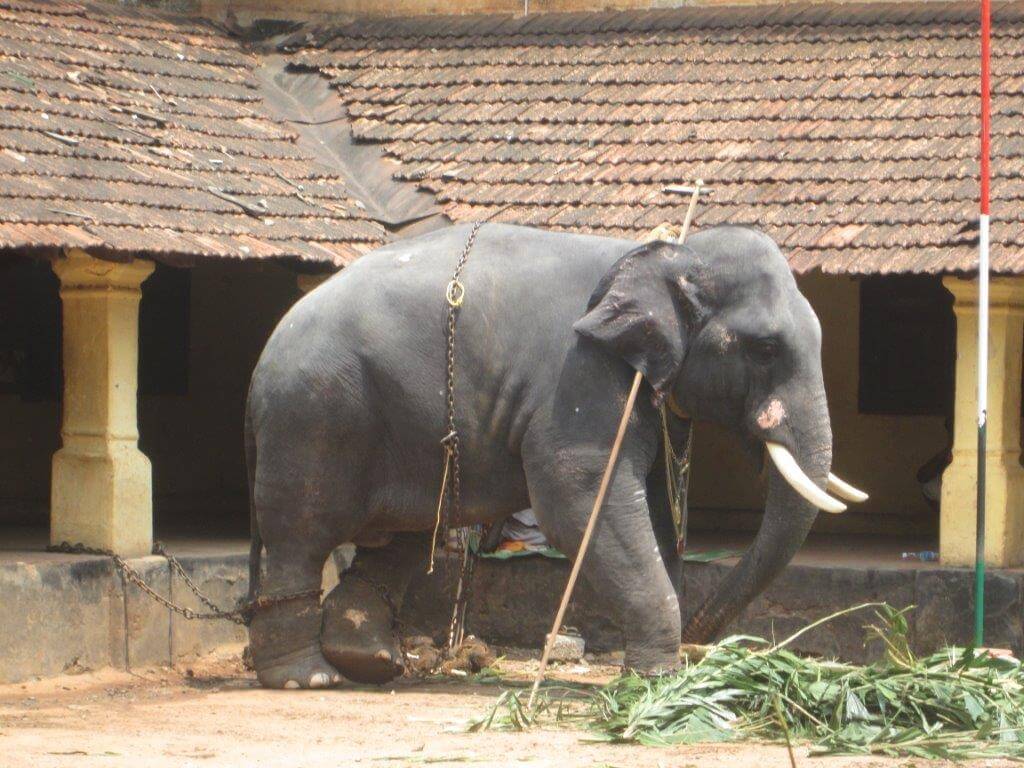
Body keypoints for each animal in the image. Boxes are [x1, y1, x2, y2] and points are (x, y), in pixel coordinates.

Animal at [243, 223, 866, 689]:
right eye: (765, 349)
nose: (698, 647)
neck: (656, 253)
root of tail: (262, 359)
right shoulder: (581, 375)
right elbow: (581, 499)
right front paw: (659, 681)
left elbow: (655, 512)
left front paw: (659, 672)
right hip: (313, 417)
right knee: (300, 534)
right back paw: (309, 677)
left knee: (405, 534)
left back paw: (372, 663)